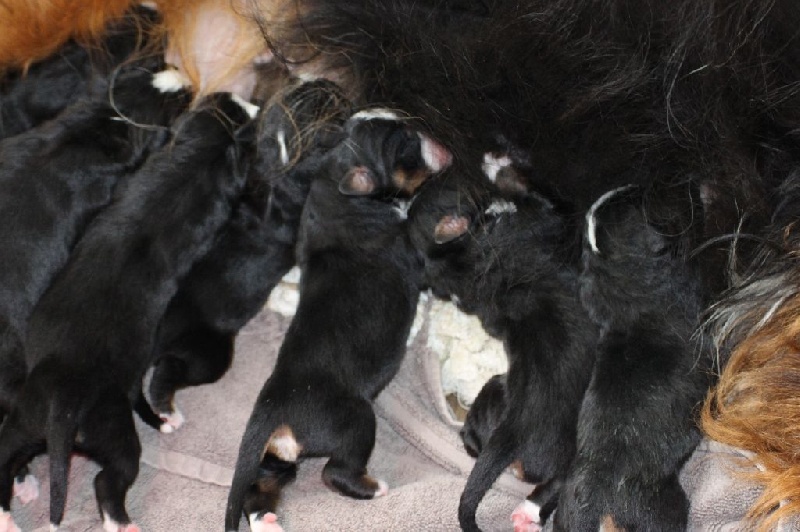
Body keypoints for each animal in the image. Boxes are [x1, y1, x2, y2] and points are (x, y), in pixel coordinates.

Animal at [0, 91, 252, 532]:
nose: (232, 98)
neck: (189, 162)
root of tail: (63, 408)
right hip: (113, 435)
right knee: (108, 479)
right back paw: (121, 519)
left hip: (23, 419)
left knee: (4, 456)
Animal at [148, 79, 354, 430]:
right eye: (327, 104)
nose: (327, 82)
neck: (279, 163)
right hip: (207, 355)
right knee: (167, 373)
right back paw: (167, 408)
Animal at [225, 109, 450, 532]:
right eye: (404, 142)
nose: (440, 142)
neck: (335, 191)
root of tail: (272, 410)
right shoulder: (414, 254)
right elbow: (427, 242)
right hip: (356, 420)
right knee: (335, 472)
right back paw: (373, 487)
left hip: (275, 460)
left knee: (260, 490)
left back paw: (267, 521)